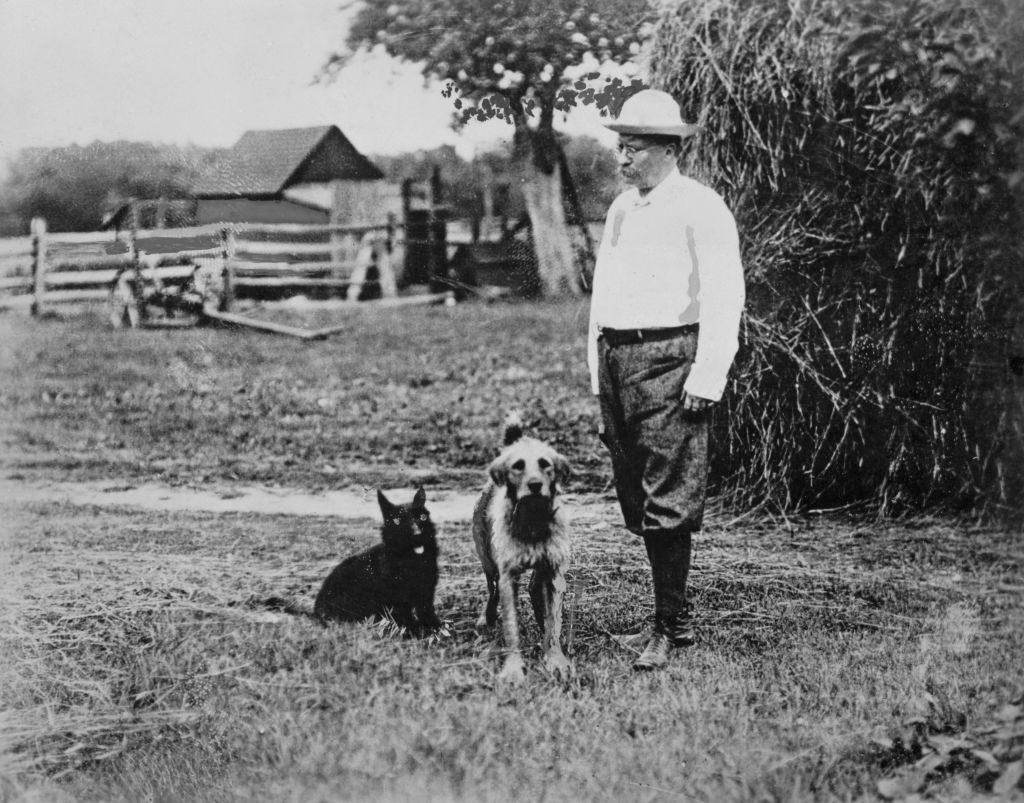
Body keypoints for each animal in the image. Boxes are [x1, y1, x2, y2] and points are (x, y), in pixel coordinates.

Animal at [473, 413, 577, 684]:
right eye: (518, 465)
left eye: (545, 464)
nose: (534, 484)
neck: (532, 519)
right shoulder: (508, 576)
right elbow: (512, 626)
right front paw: (513, 668)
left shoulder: (553, 571)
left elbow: (553, 624)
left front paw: (555, 660)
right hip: (487, 560)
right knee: (492, 590)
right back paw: (486, 617)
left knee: (534, 589)